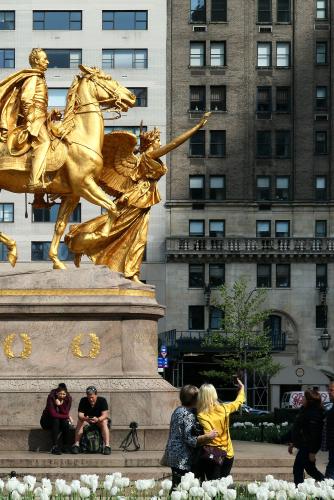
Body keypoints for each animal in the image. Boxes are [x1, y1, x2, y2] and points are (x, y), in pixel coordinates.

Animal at [0, 67, 137, 272]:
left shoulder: (73, 194)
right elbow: (112, 208)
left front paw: (57, 260)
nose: (132, 96)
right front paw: (92, 238)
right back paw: (12, 251)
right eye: (107, 78)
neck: (81, 137)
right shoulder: (85, 186)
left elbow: (60, 225)